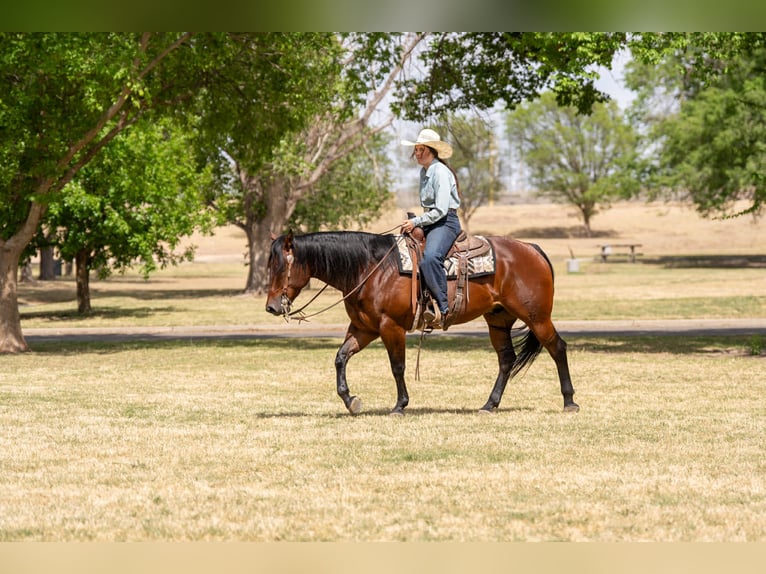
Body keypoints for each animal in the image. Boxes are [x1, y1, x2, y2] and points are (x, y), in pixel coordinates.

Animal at [265, 230, 578, 416]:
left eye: (280, 267)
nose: (271, 307)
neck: (371, 268)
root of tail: (532, 248)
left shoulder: (390, 327)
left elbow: (397, 367)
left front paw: (400, 405)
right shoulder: (364, 329)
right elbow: (341, 358)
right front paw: (350, 400)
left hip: (537, 317)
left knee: (558, 348)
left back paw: (569, 401)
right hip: (499, 320)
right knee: (507, 360)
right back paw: (489, 405)